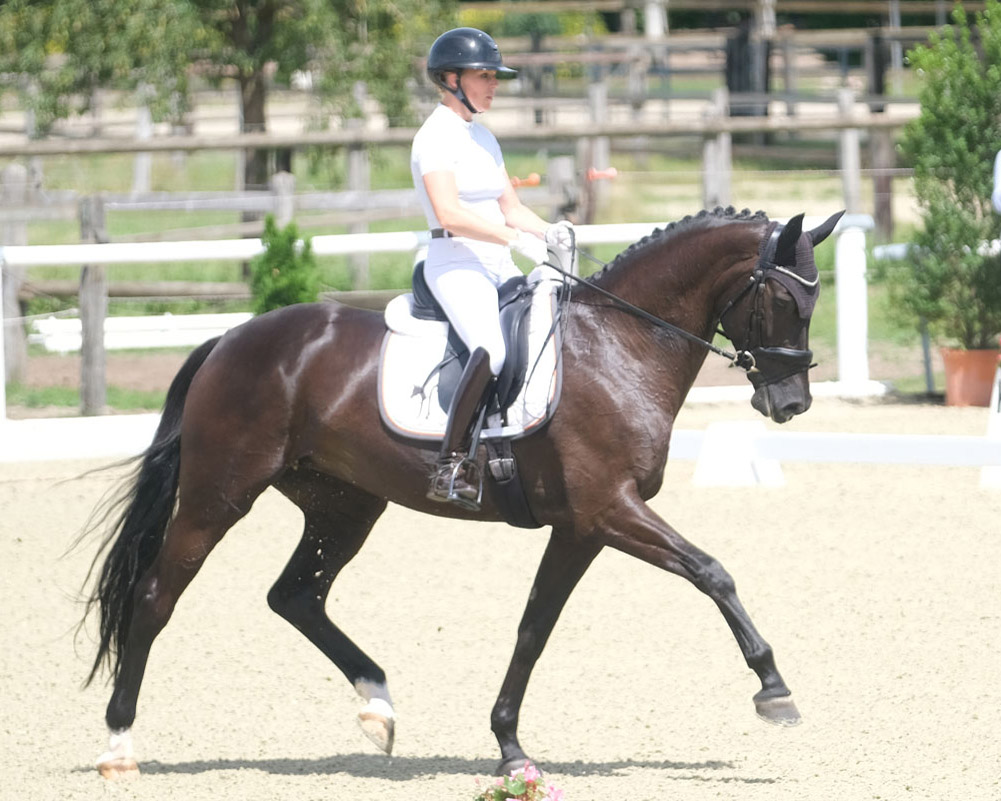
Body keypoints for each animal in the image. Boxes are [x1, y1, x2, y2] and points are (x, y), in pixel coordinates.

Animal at [80, 205, 844, 776]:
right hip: (222, 493)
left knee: (295, 595)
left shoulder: (581, 527)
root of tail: (230, 338)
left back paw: (378, 707)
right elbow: (711, 571)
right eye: (784, 297)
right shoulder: (609, 509)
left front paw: (508, 745)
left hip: (343, 504)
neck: (618, 344)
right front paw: (773, 689)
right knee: (157, 595)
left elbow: (534, 628)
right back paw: (118, 745)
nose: (790, 403)